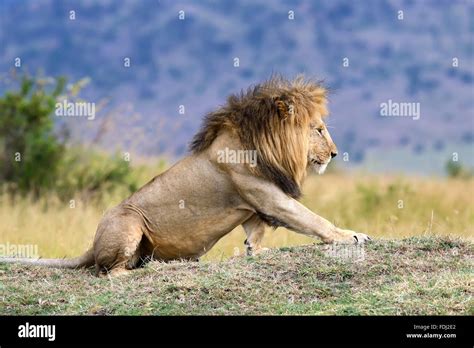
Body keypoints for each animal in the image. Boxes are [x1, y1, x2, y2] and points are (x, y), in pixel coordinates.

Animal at [1, 75, 372, 276]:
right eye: (319, 129)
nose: (335, 153)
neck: (261, 144)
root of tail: (92, 245)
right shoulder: (268, 196)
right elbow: (312, 219)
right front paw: (352, 235)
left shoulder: (257, 206)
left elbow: (257, 235)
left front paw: (256, 252)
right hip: (129, 222)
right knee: (109, 272)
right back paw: (146, 271)